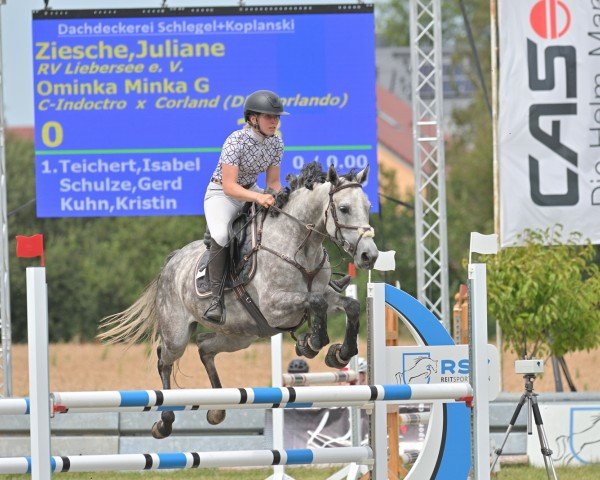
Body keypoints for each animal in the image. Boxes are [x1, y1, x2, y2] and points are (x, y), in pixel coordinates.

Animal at [100, 164, 378, 438]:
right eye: (344, 208)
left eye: (367, 206)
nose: (369, 256)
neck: (300, 246)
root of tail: (172, 260)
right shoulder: (275, 306)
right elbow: (316, 302)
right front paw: (310, 343)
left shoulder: (324, 296)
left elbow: (349, 305)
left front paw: (338, 353)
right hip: (177, 334)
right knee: (164, 360)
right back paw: (164, 422)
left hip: (241, 335)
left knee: (205, 346)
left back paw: (217, 410)